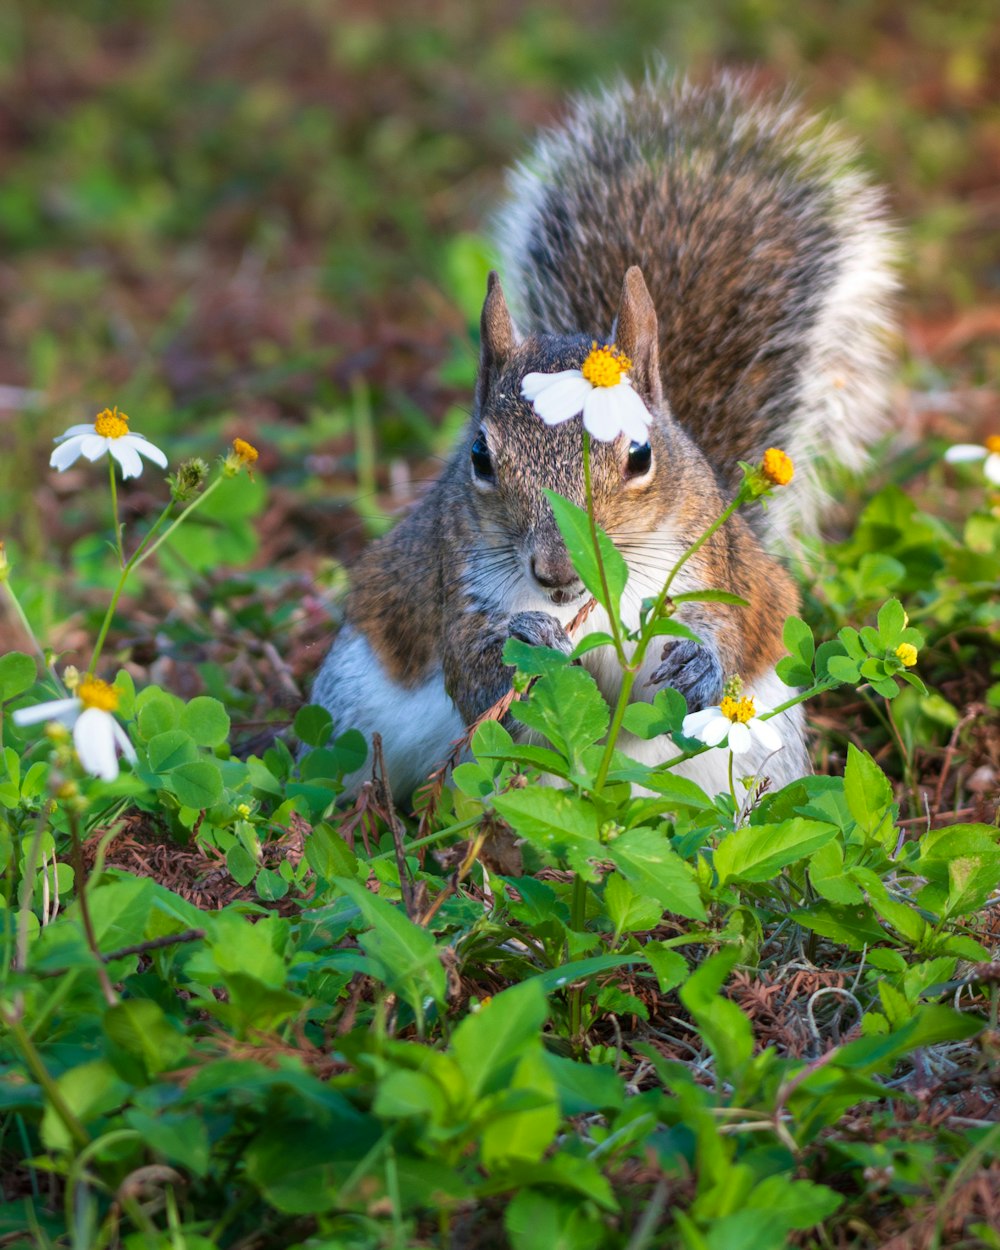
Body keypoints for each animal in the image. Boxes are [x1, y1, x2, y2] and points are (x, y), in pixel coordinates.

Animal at [308, 70, 895, 800]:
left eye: (641, 455)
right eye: (479, 456)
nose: (556, 572)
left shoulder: (715, 572)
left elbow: (720, 641)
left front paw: (702, 665)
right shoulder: (457, 589)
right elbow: (477, 681)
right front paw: (530, 648)